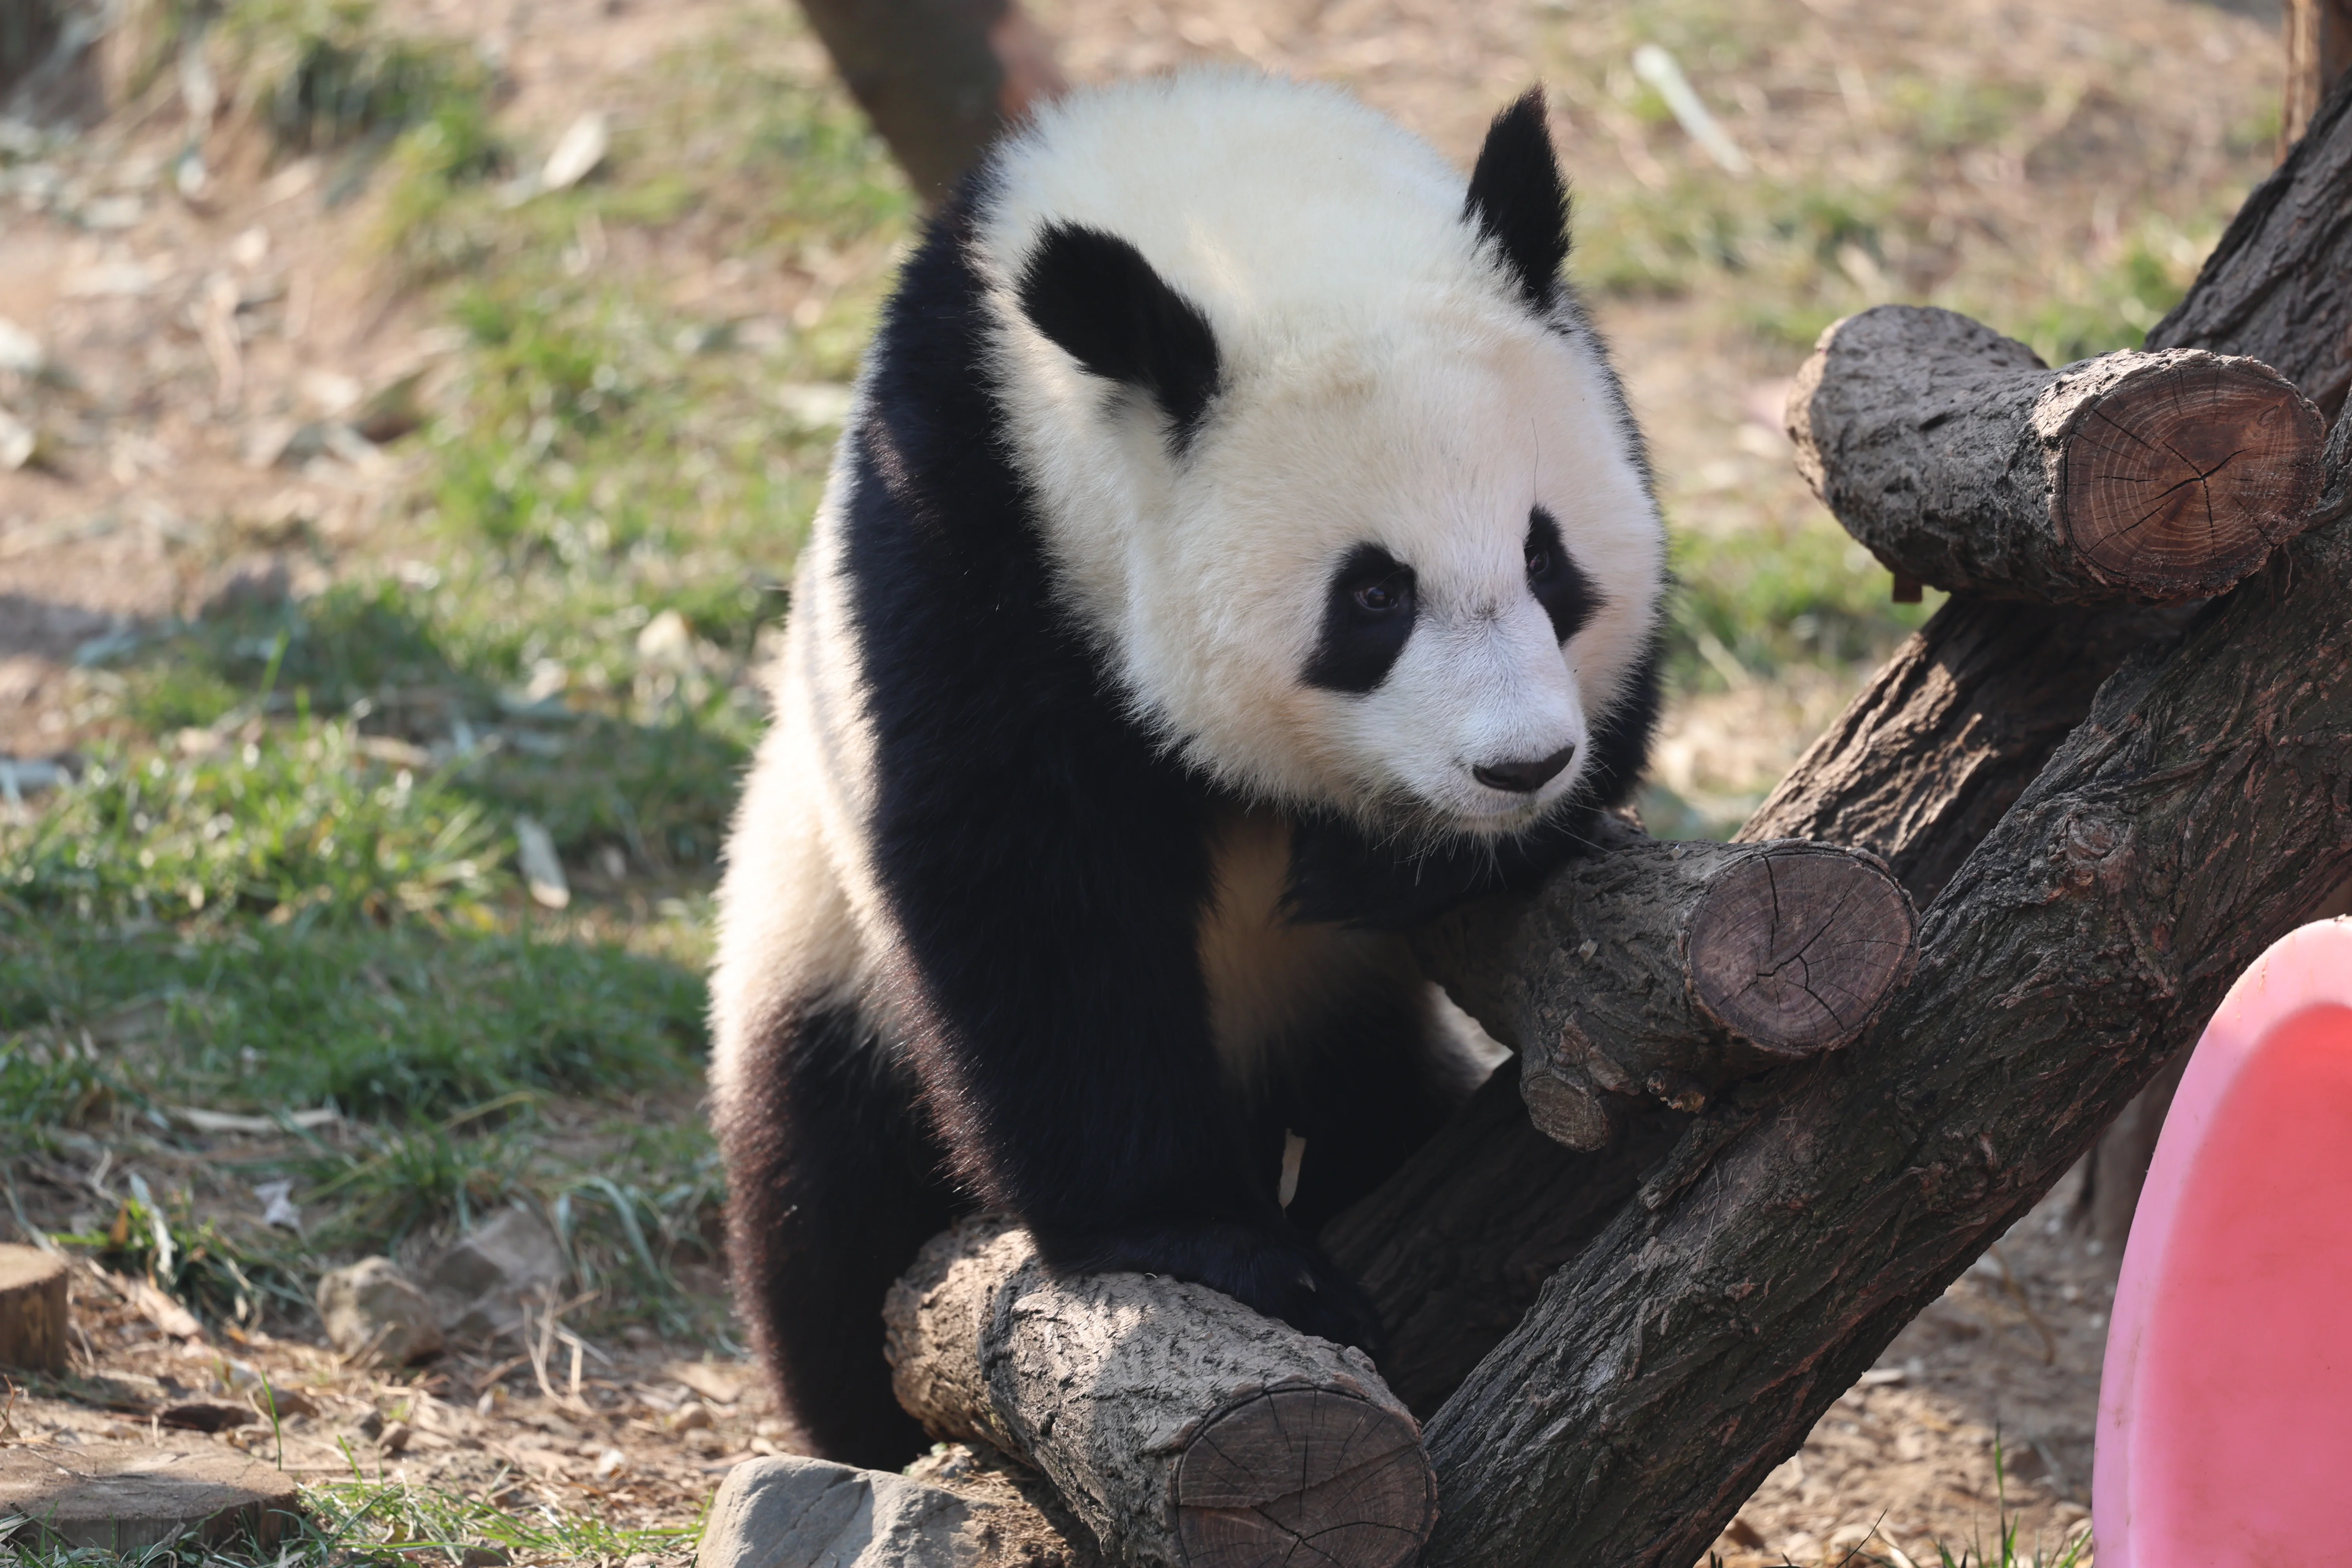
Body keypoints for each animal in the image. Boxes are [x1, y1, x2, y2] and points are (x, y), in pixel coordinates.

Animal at [709, 70, 1666, 1467]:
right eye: (1371, 596)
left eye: (1546, 560)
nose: (1518, 765)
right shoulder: (963, 520)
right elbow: (1019, 882)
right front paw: (1215, 1245)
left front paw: (1380, 864)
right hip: (819, 969)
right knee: (820, 1205)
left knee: (1381, 1101)